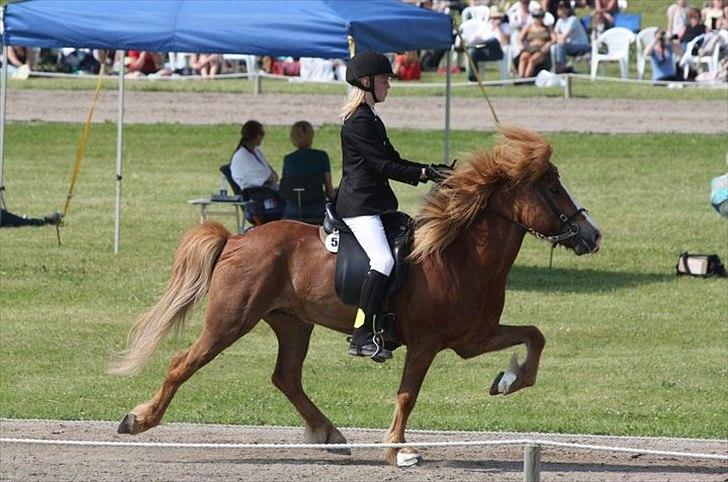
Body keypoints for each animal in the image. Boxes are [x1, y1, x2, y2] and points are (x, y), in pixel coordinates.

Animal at [109, 127, 596, 466]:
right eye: (553, 187)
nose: (592, 235)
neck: (458, 254)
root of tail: (236, 238)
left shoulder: (471, 339)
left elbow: (535, 336)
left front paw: (508, 380)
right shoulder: (426, 344)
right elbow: (407, 395)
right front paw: (398, 451)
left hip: (292, 323)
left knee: (286, 377)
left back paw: (329, 435)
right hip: (230, 321)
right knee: (183, 364)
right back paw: (138, 420)